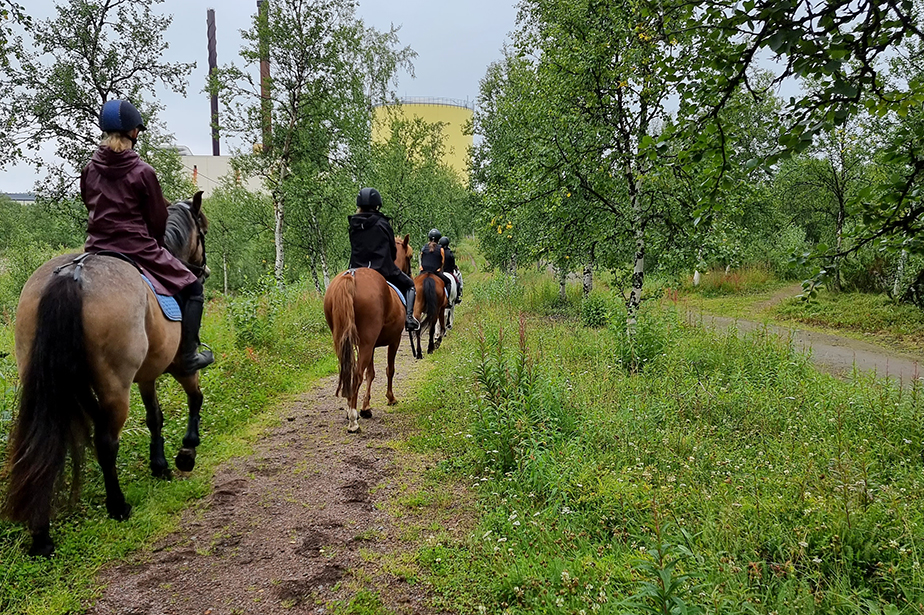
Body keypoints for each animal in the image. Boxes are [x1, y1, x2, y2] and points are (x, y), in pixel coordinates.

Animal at [1, 192, 209, 560]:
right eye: (204, 231)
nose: (204, 270)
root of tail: (73, 275)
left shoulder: (147, 375)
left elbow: (155, 417)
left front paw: (159, 466)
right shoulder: (176, 366)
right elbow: (194, 398)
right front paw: (186, 453)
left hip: (46, 384)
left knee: (44, 445)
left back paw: (41, 535)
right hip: (115, 386)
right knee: (106, 442)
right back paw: (118, 506)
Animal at [324, 233, 414, 430]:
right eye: (410, 256)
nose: (411, 275)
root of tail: (351, 276)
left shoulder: (370, 345)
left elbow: (370, 373)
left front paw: (366, 407)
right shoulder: (394, 340)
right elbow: (389, 369)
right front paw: (390, 398)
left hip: (344, 340)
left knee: (348, 372)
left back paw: (351, 410)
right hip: (367, 342)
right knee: (357, 374)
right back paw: (352, 419)